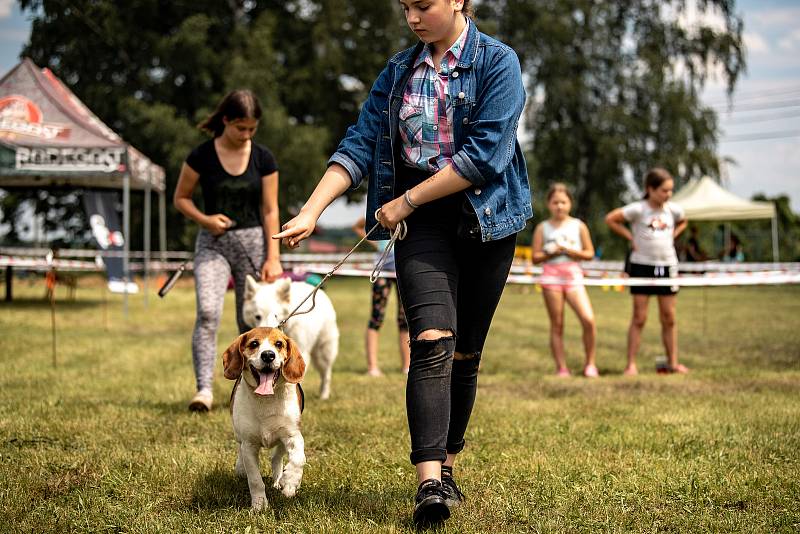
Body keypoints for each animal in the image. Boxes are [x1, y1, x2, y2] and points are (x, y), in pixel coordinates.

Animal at [223, 326, 308, 510]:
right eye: (254, 344)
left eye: (279, 344)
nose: (268, 355)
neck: (266, 399)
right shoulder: (249, 444)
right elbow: (255, 479)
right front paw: (259, 504)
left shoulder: (293, 435)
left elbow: (299, 459)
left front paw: (290, 482)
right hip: (239, 435)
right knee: (240, 451)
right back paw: (241, 468)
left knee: (276, 458)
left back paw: (279, 481)